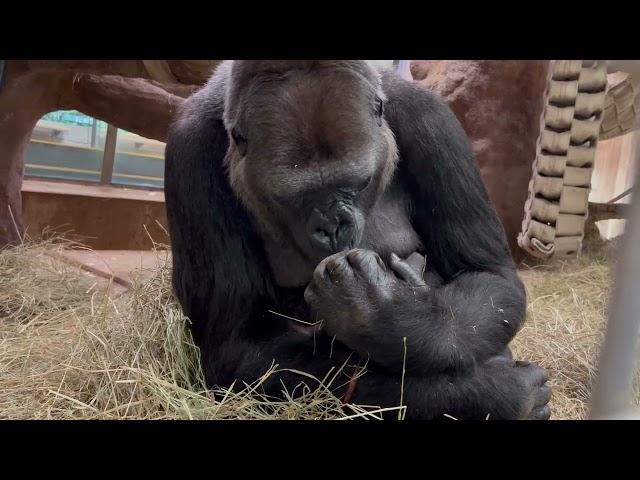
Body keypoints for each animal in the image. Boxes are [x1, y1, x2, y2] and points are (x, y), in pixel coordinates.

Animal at [164, 60, 552, 420]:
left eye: (358, 182)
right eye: (294, 197)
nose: (334, 226)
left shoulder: (428, 117)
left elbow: (488, 273)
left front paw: (391, 319)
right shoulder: (190, 149)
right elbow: (240, 348)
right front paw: (491, 395)